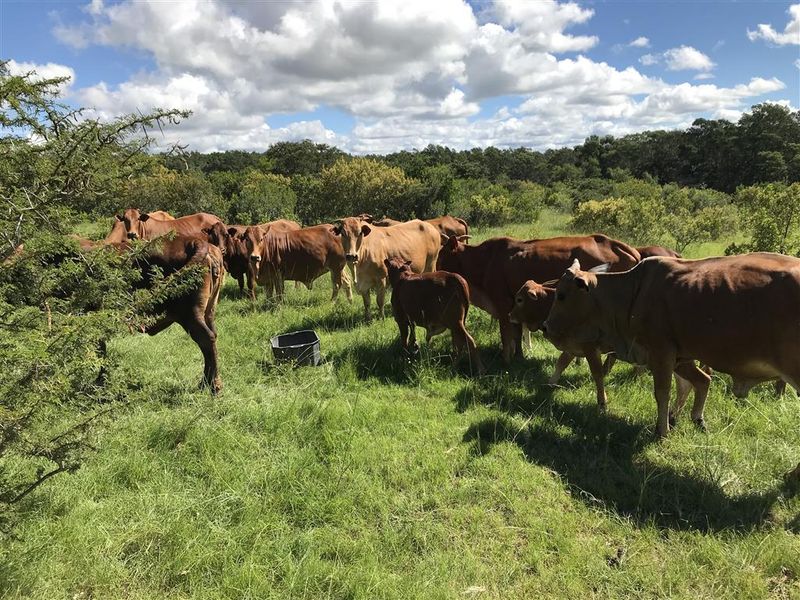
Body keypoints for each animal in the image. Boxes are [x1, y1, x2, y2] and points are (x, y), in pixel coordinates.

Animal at [437, 234, 640, 363]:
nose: (434, 270)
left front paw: (506, 359)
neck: (484, 260)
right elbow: (517, 334)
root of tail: (619, 245)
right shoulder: (515, 308)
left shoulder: (503, 305)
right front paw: (519, 356)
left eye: (442, 255)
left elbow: (506, 335)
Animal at [542, 253, 800, 457]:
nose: (545, 326)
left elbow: (662, 392)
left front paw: (662, 430)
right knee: (703, 381)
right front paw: (681, 419)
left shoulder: (662, 352)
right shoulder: (679, 357)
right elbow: (695, 383)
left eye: (561, 295)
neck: (632, 294)